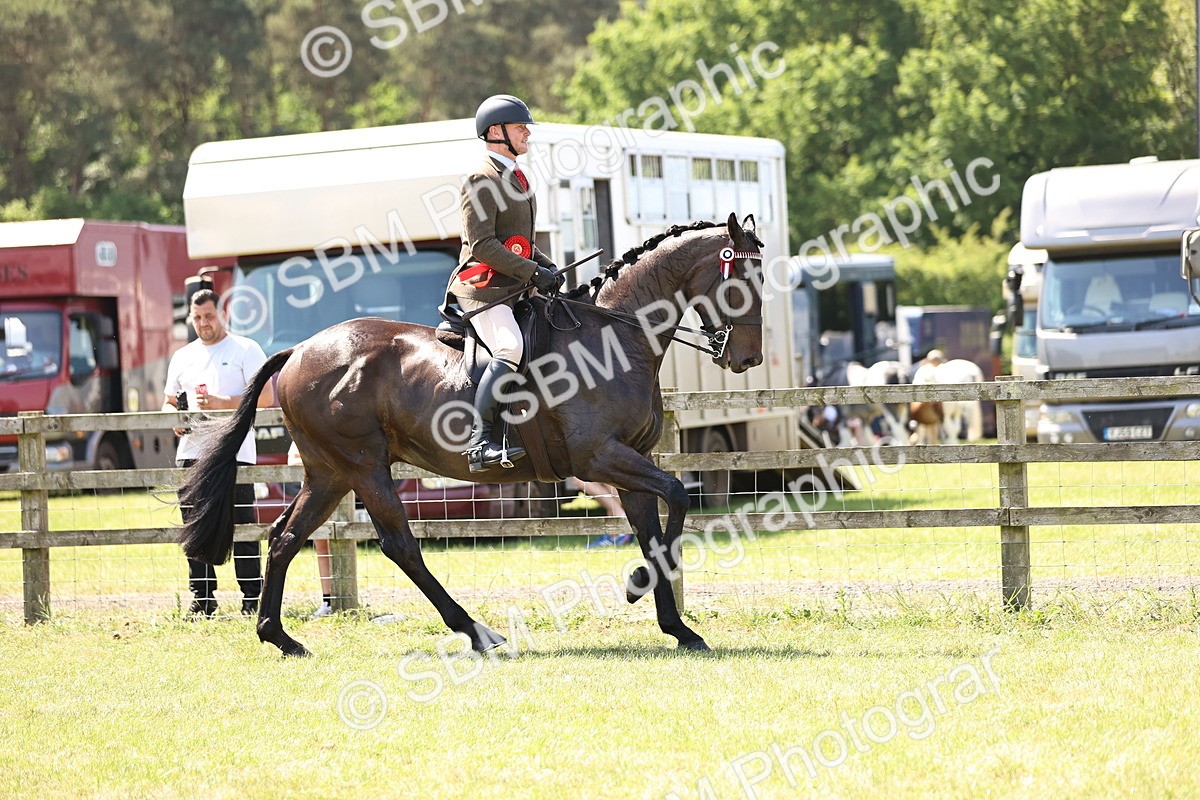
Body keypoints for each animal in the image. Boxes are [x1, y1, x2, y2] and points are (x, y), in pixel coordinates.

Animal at [178, 214, 765, 656]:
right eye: (740, 279)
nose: (746, 358)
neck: (616, 336)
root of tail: (299, 350)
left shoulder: (630, 461)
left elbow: (656, 530)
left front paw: (678, 628)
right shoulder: (600, 457)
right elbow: (678, 495)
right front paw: (639, 589)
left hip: (328, 472)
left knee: (284, 537)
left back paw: (279, 638)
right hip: (363, 465)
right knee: (400, 544)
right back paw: (476, 632)